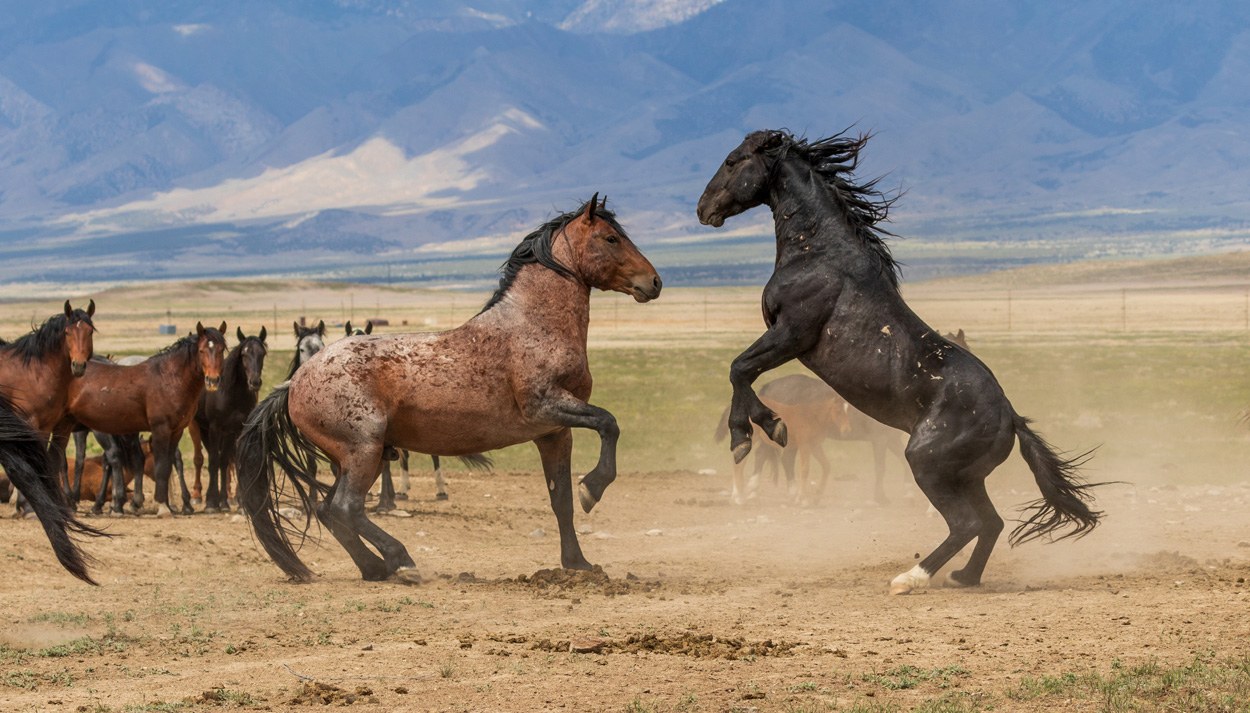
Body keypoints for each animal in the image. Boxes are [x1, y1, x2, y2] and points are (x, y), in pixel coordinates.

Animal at [62, 323, 227, 515]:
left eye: (222, 350)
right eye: (201, 350)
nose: (213, 380)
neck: (169, 378)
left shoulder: (175, 430)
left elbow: (165, 464)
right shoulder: (161, 429)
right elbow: (161, 465)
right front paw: (162, 505)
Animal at [188, 327, 268, 512]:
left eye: (263, 353)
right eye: (244, 354)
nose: (255, 382)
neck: (231, 393)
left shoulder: (235, 429)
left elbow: (225, 461)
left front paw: (229, 501)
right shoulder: (215, 428)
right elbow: (214, 461)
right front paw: (212, 502)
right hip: (197, 427)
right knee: (200, 459)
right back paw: (198, 496)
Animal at [237, 195, 662, 582]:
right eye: (611, 238)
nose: (654, 282)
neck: (534, 325)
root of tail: (295, 382)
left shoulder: (554, 433)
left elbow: (562, 500)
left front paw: (578, 563)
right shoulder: (547, 408)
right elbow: (609, 423)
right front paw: (594, 487)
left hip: (357, 458)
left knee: (330, 511)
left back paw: (376, 568)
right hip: (363, 451)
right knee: (345, 507)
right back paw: (401, 561)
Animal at [697, 130, 1102, 594]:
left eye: (733, 160)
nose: (703, 209)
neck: (820, 254)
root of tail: (1011, 419)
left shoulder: (791, 335)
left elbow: (740, 369)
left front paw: (753, 433)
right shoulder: (785, 340)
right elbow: (742, 372)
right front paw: (760, 431)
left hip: (927, 464)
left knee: (967, 524)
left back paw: (910, 578)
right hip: (965, 476)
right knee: (991, 523)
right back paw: (964, 577)